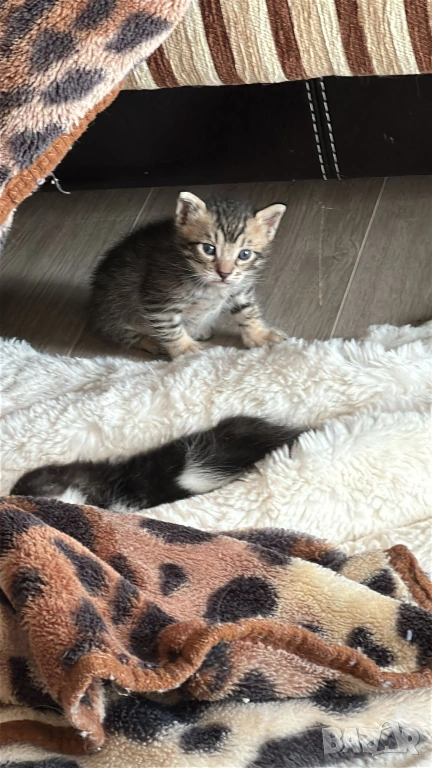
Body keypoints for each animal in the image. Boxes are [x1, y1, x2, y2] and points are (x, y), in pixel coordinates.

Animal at [89, 192, 287, 358]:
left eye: (244, 254)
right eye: (208, 249)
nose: (224, 273)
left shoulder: (239, 288)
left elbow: (247, 310)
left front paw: (259, 334)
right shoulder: (158, 298)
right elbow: (170, 327)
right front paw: (185, 350)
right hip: (114, 309)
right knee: (123, 333)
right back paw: (150, 341)